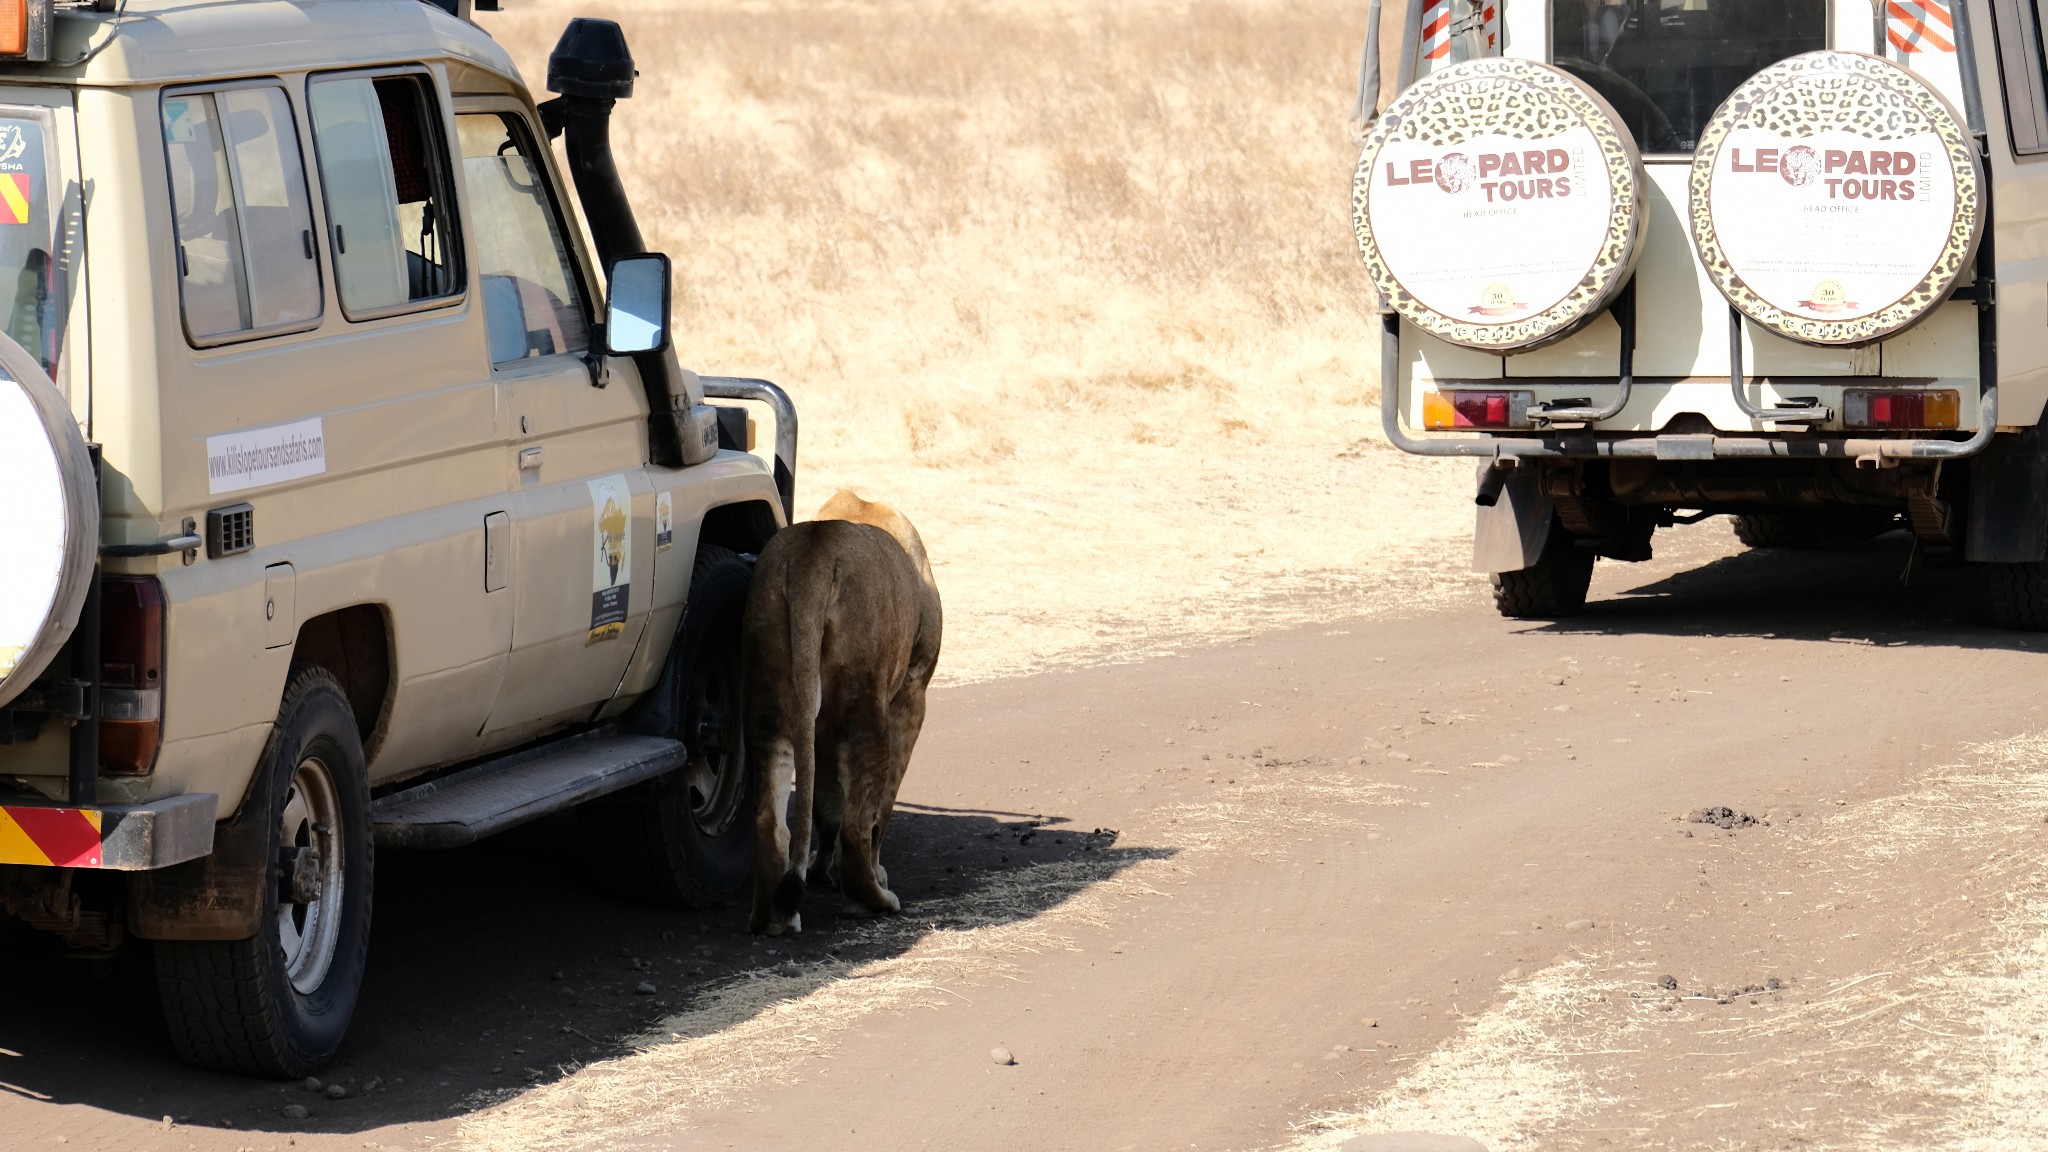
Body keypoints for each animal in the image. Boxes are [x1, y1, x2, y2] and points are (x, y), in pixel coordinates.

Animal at [745, 485, 942, 934]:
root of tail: (812, 556)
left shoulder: (818, 726)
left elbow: (824, 801)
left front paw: (820, 869)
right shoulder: (911, 694)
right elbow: (878, 810)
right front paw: (865, 870)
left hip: (770, 693)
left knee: (768, 818)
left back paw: (772, 918)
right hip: (864, 705)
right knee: (857, 825)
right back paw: (874, 901)